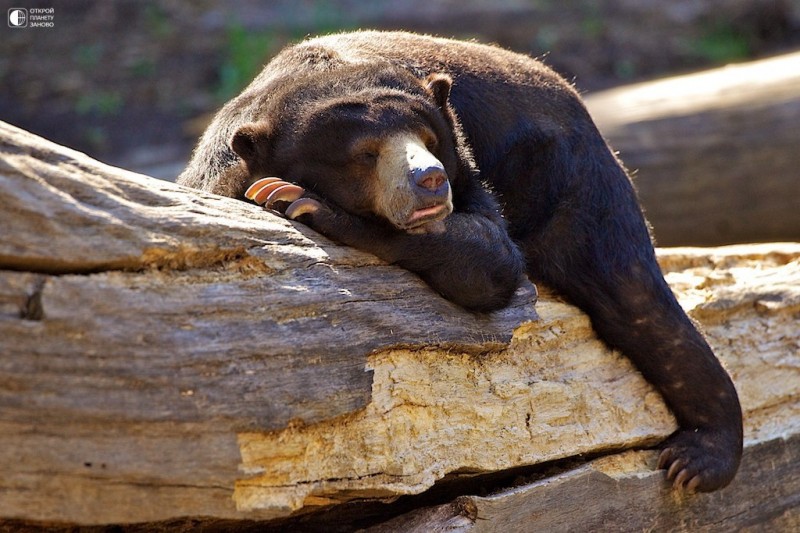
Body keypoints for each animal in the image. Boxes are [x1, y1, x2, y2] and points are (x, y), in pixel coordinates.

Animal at [180, 31, 744, 492]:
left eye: (429, 141)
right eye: (365, 154)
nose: (430, 179)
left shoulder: (472, 164)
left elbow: (491, 258)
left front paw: (300, 201)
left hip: (572, 181)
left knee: (633, 294)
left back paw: (698, 458)